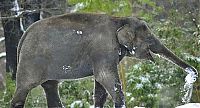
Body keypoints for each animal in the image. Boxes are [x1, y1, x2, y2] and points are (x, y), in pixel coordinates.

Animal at [11, 13, 198, 107]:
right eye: (150, 38)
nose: (193, 75)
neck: (120, 19)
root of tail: (23, 37)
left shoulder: (102, 54)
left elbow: (100, 86)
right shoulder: (104, 50)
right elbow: (106, 78)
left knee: (51, 87)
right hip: (31, 62)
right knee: (24, 88)